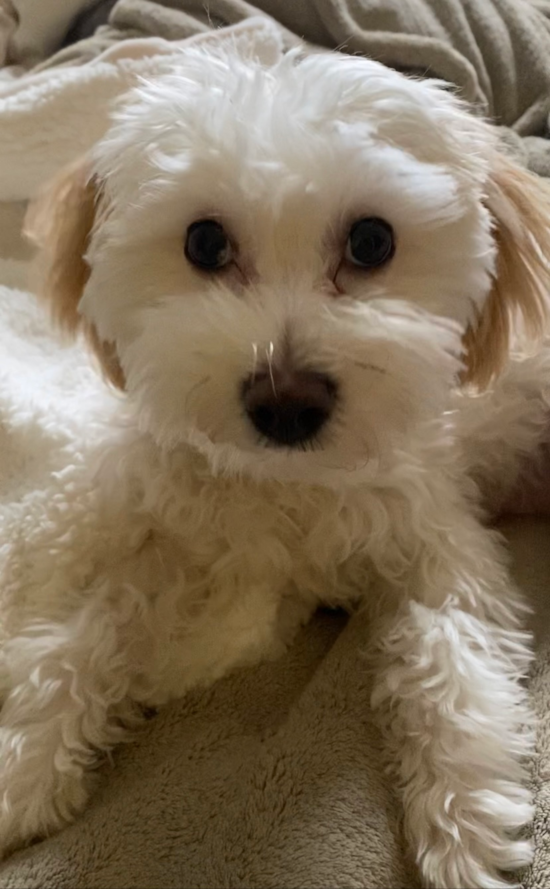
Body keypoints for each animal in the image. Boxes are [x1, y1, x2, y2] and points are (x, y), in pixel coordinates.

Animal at [3, 43, 550, 888]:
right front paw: (27, 763)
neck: (290, 480)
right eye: (203, 243)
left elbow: (448, 654)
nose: (286, 402)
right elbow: (82, 630)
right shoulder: (179, 536)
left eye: (371, 242)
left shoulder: (438, 541)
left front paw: (467, 821)